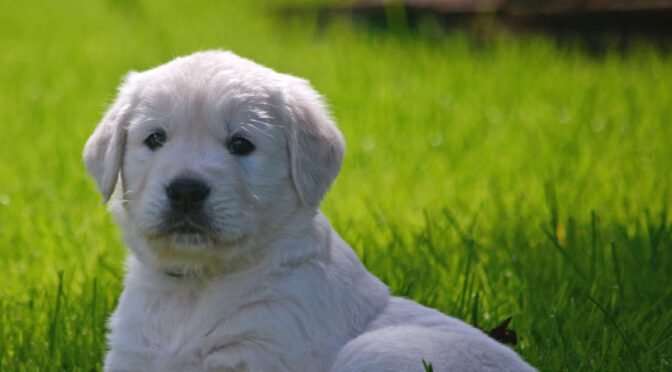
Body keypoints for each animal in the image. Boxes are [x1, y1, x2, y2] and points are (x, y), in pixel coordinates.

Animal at [84, 50, 536, 372]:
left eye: (241, 144)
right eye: (155, 139)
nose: (186, 191)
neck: (196, 286)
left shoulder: (261, 351)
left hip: (375, 350)